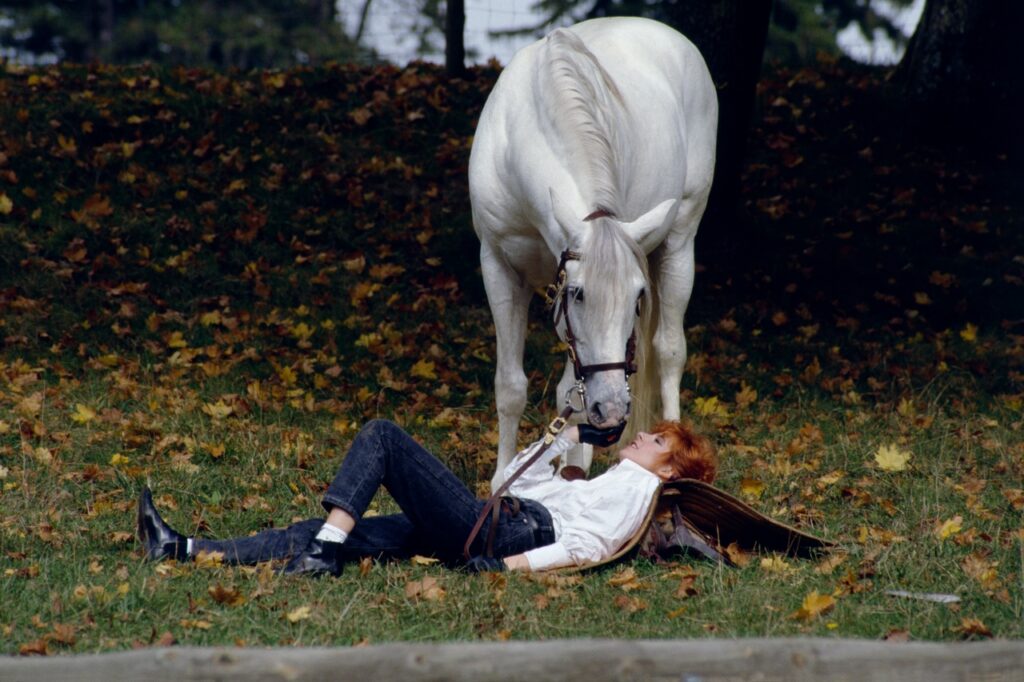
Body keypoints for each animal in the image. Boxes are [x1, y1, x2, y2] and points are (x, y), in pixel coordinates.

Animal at [468, 17, 716, 489]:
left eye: (636, 298)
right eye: (579, 295)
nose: (614, 409)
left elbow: (569, 392)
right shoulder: (498, 267)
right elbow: (511, 387)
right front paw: (502, 478)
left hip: (680, 243)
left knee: (669, 350)